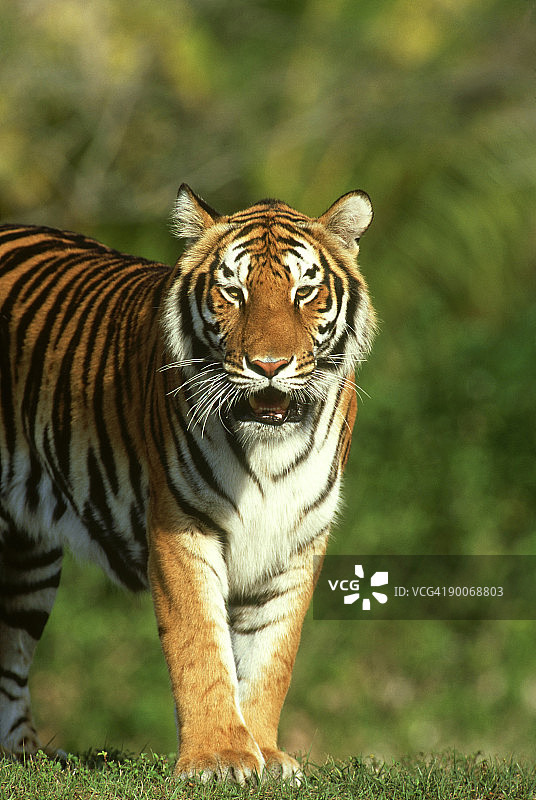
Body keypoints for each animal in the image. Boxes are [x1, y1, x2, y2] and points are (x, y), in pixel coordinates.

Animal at [0, 185, 375, 783]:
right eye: (233, 292)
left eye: (305, 292)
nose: (269, 365)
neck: (269, 450)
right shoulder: (182, 527)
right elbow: (200, 644)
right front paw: (218, 758)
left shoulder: (296, 541)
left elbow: (272, 655)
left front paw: (265, 754)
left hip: (29, 555)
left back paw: (25, 757)